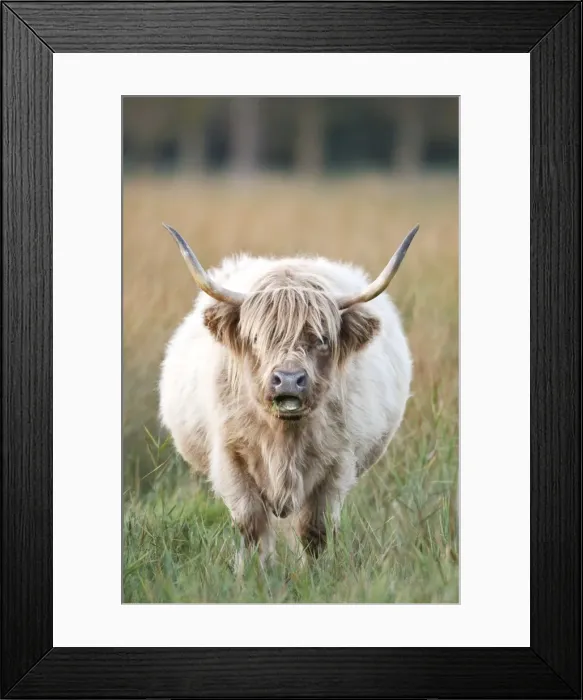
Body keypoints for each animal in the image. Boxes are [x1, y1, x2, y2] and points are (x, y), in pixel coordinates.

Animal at [158, 223, 418, 569]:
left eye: (322, 338)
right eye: (256, 338)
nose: (289, 382)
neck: (283, 437)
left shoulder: (337, 463)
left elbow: (314, 529)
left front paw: (314, 575)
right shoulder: (230, 457)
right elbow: (252, 525)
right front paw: (253, 574)